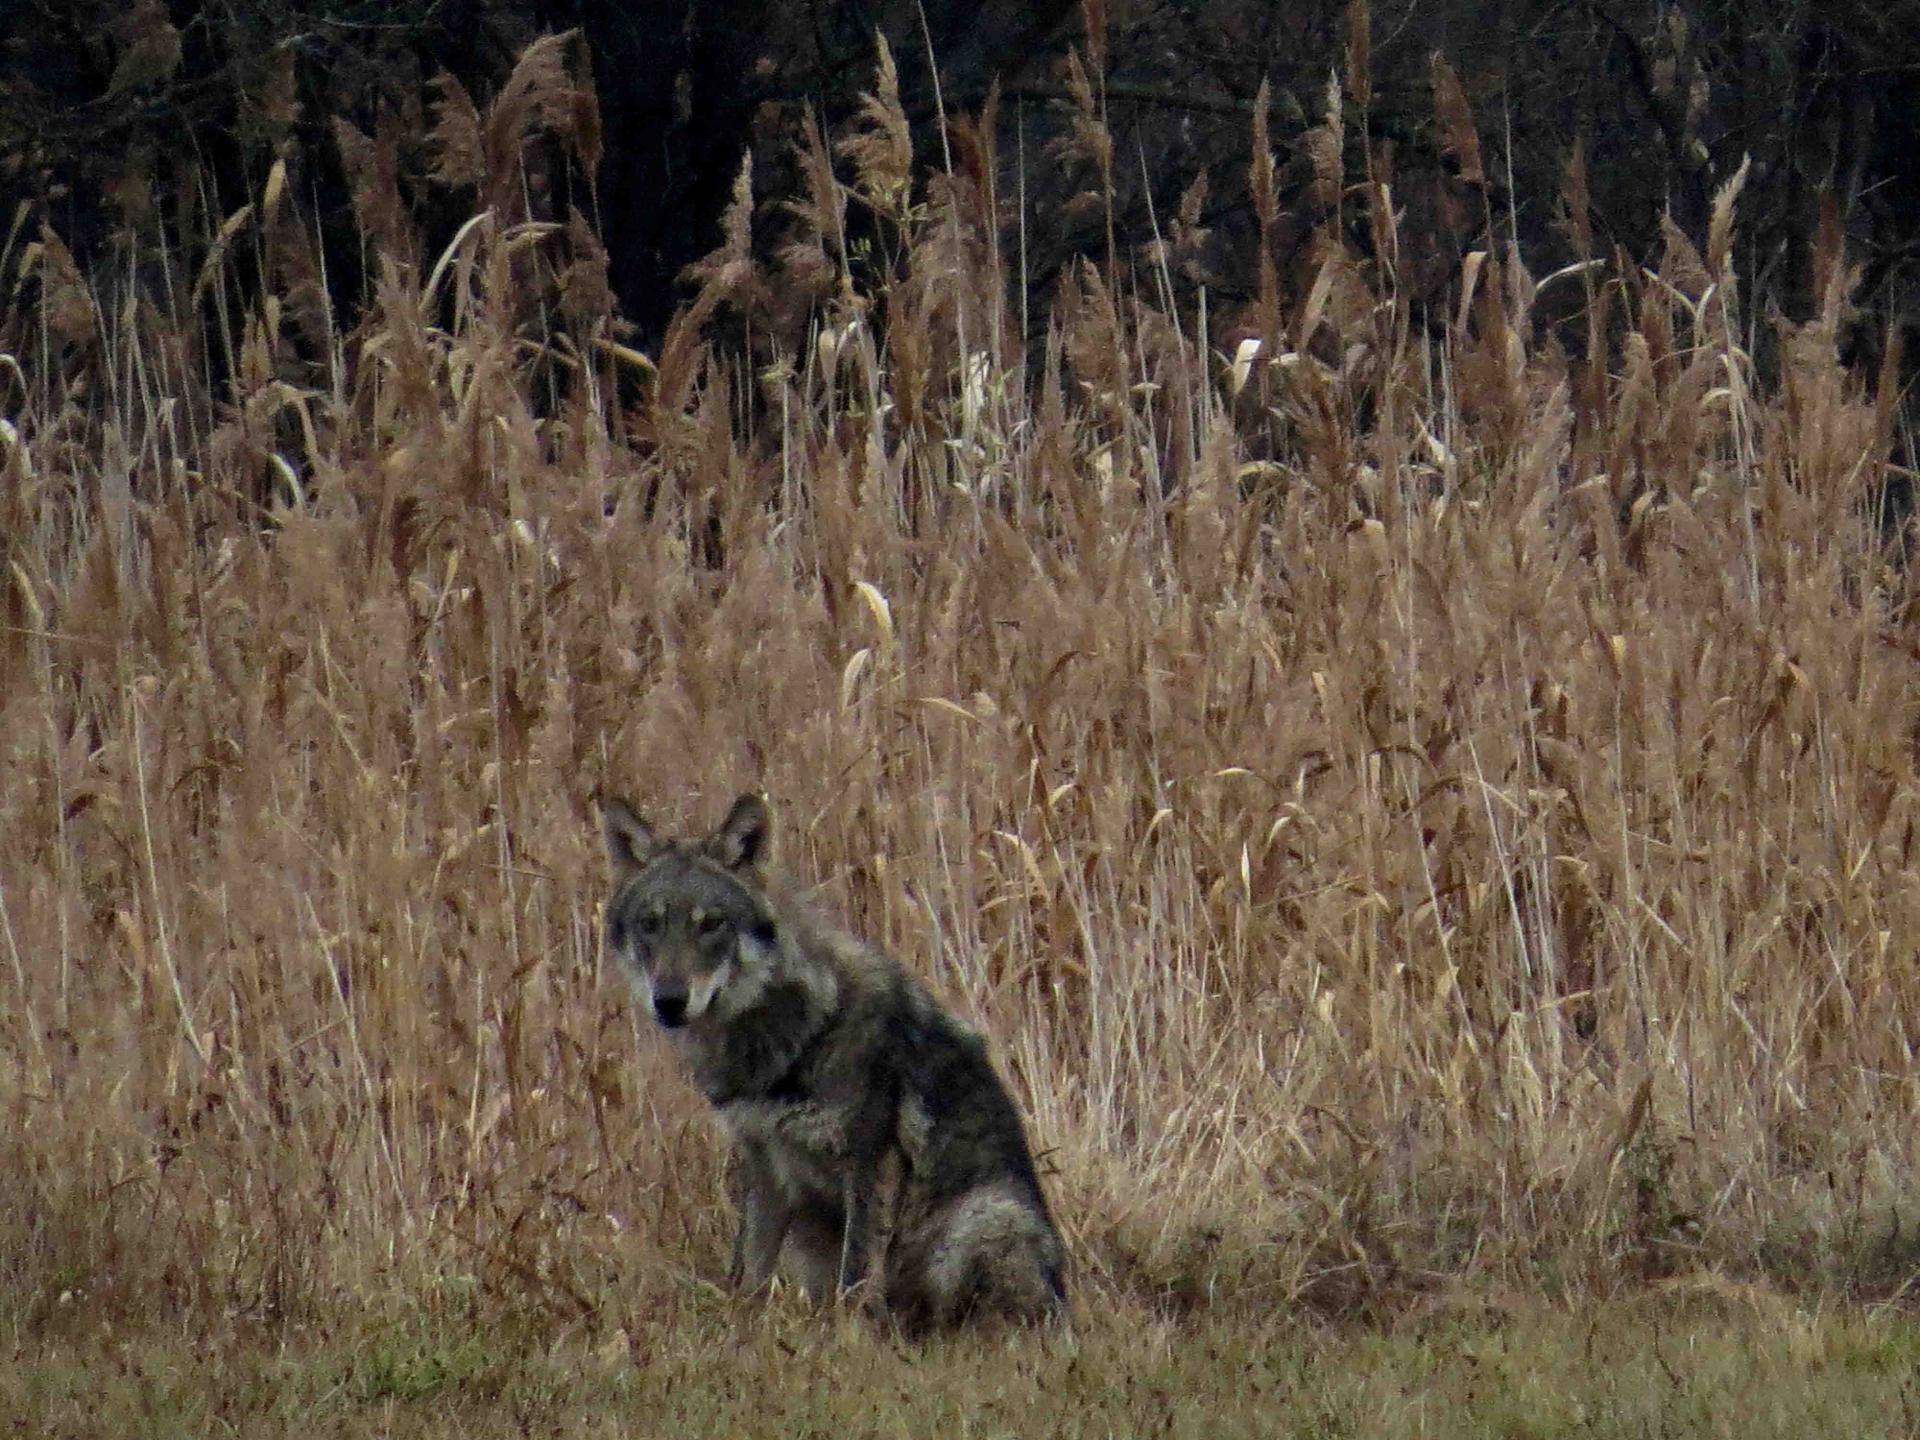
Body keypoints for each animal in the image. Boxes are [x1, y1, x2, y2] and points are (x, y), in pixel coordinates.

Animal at [602, 794, 1067, 1336]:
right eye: (651, 924)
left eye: (711, 923)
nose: (670, 1002)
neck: (792, 1035)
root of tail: (1062, 1303)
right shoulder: (764, 1162)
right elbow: (748, 1273)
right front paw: (740, 1331)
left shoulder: (869, 1163)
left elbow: (857, 1274)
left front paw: (851, 1337)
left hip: (980, 1219)